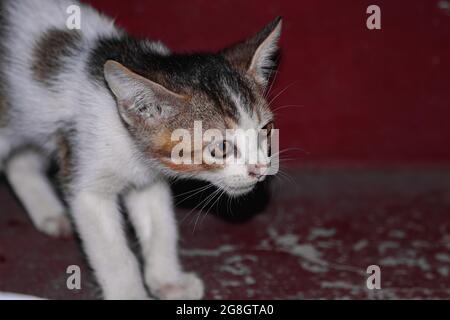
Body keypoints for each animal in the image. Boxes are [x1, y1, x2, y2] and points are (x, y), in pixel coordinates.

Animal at [0, 0, 282, 300]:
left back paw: (49, 213)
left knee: (20, 162)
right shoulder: (87, 181)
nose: (260, 169)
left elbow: (160, 228)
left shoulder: (148, 179)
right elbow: (115, 255)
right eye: (221, 147)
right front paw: (130, 293)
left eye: (265, 129)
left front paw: (169, 281)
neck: (129, 140)